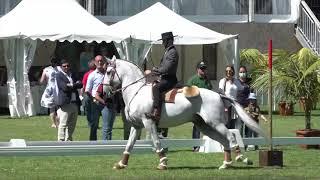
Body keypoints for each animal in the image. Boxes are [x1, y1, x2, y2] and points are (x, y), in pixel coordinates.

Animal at [103, 58, 264, 170]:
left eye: (109, 72)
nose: (104, 92)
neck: (136, 92)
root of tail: (218, 94)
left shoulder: (148, 122)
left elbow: (156, 142)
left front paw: (163, 163)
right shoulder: (136, 126)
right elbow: (129, 144)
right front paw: (121, 164)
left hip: (215, 123)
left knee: (230, 136)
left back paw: (242, 158)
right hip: (205, 126)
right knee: (224, 140)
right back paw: (226, 164)